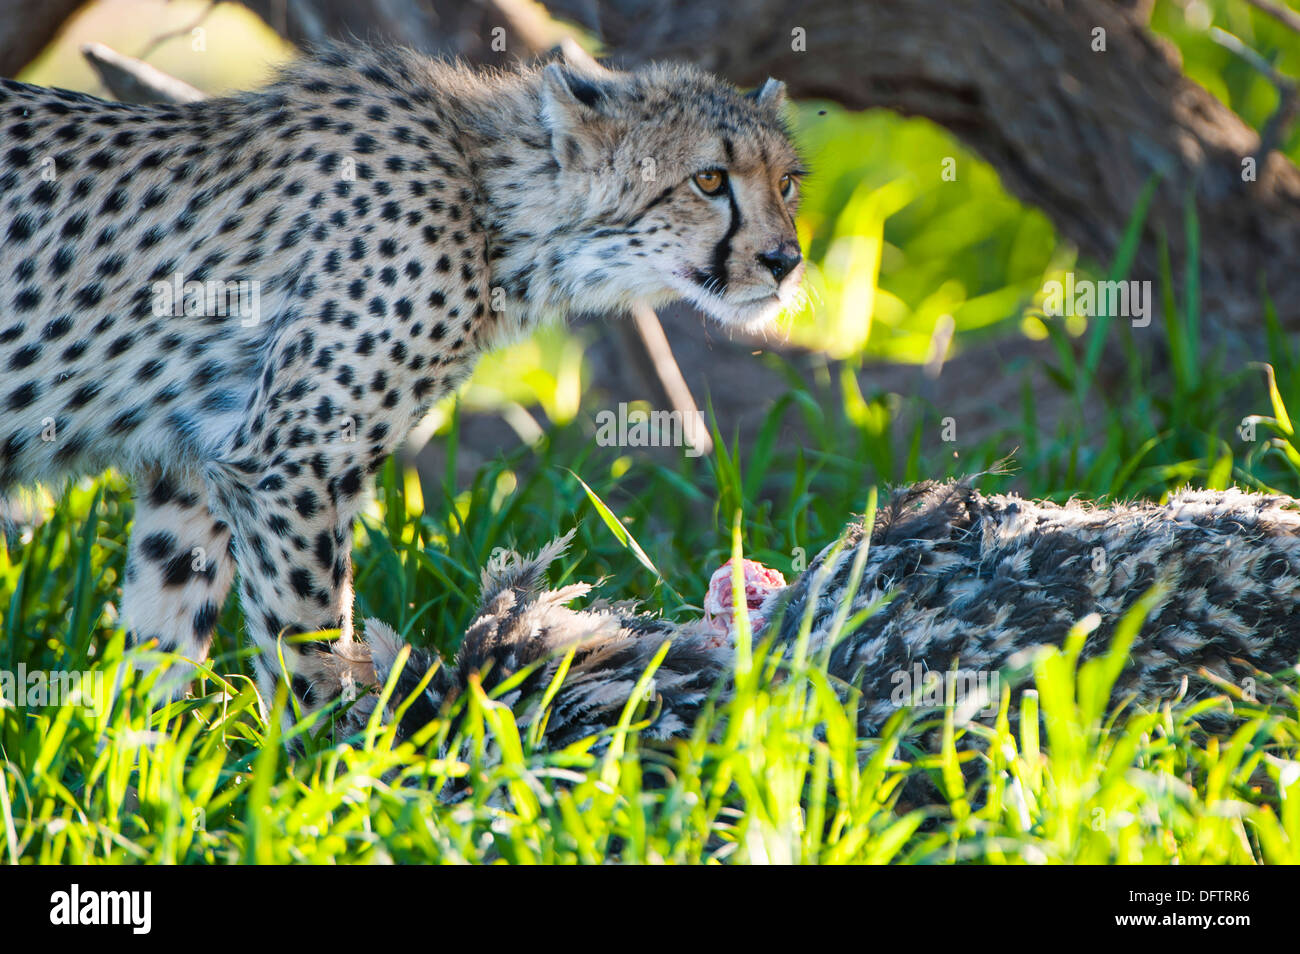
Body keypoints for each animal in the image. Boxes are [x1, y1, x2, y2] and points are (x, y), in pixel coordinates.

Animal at [0, 44, 806, 727]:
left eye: (787, 182)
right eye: (709, 179)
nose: (785, 261)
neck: (492, 205)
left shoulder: (195, 472)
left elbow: (161, 637)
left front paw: (142, 776)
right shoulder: (290, 469)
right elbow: (310, 648)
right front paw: (329, 774)